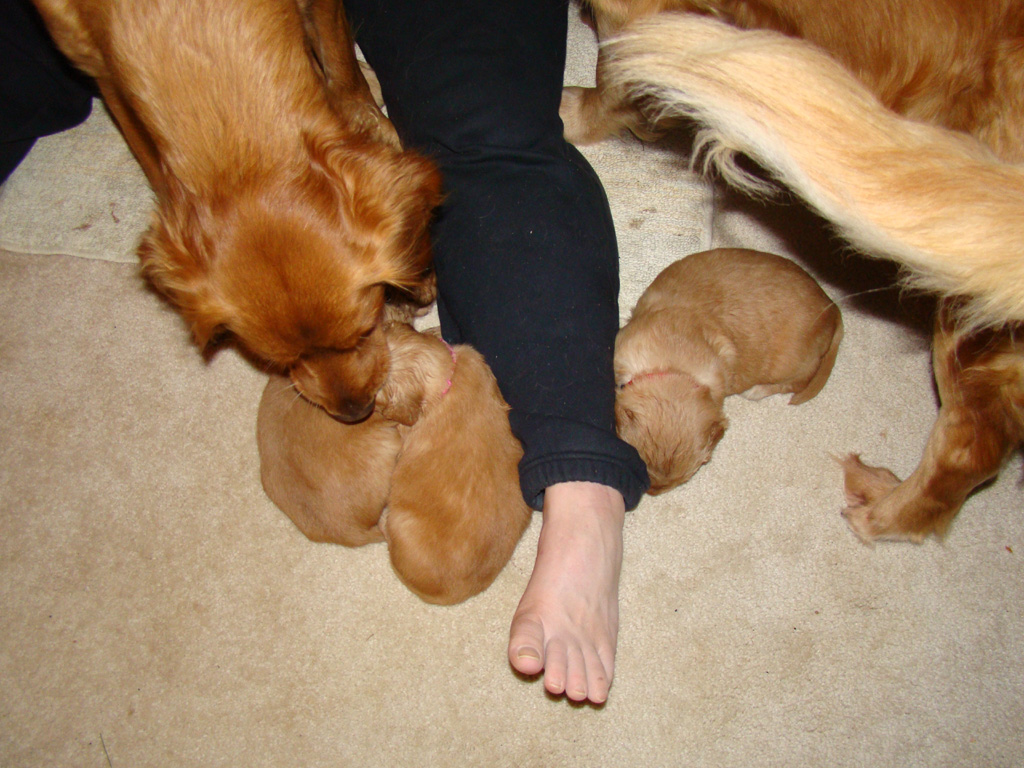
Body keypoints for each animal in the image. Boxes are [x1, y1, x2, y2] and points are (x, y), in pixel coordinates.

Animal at [610, 249, 843, 495]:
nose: (652, 492)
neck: (673, 369)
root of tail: (832, 309)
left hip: (793, 365)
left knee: (799, 382)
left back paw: (757, 391)